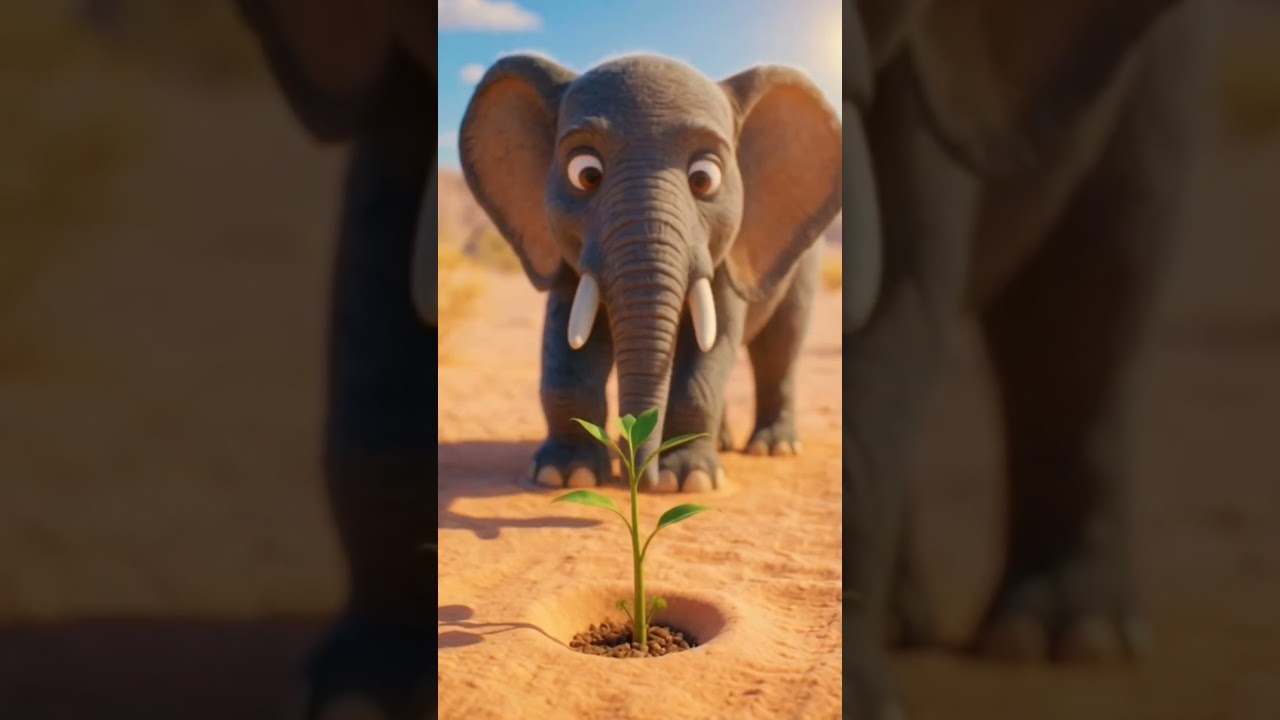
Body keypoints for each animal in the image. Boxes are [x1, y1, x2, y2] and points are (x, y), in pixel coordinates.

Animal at [455, 54, 846, 492]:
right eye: (586, 174)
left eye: (704, 179)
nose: (642, 479)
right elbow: (566, 344)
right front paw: (566, 475)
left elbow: (711, 348)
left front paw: (688, 482)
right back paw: (723, 444)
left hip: (803, 265)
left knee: (780, 348)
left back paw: (774, 449)